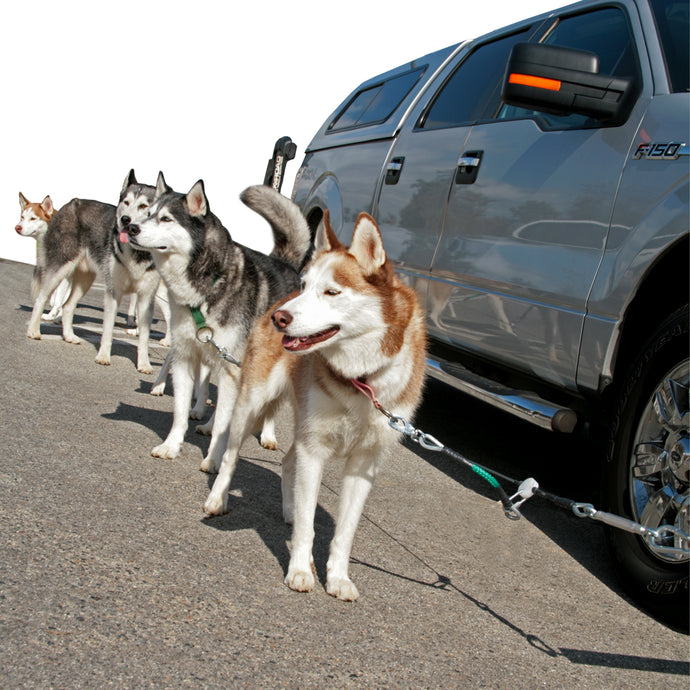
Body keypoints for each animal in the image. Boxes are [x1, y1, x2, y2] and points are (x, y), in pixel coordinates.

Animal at [15, 191, 69, 320]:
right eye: (22, 217)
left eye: (33, 218)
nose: (17, 227)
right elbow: (57, 297)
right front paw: (58, 313)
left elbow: (60, 298)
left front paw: (53, 315)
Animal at [27, 171, 167, 370]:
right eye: (126, 202)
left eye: (143, 206)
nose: (125, 220)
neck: (137, 253)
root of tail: (72, 202)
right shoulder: (113, 293)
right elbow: (108, 330)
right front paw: (103, 356)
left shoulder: (146, 297)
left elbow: (144, 337)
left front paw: (144, 364)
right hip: (60, 268)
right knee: (41, 299)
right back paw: (33, 330)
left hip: (86, 279)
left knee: (67, 306)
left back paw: (69, 336)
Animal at [126, 175, 312, 462]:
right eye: (149, 213)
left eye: (166, 219)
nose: (131, 227)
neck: (205, 289)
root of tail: (286, 264)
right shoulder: (186, 359)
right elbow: (180, 412)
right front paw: (171, 445)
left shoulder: (230, 368)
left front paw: (213, 460)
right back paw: (209, 424)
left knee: (268, 406)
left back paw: (268, 435)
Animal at [202, 210, 424, 596]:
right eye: (306, 286)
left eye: (332, 291)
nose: (280, 319)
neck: (361, 382)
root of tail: (278, 297)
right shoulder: (315, 448)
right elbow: (309, 524)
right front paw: (300, 570)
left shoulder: (362, 465)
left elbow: (344, 532)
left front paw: (338, 577)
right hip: (250, 405)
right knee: (230, 455)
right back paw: (218, 499)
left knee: (288, 461)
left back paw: (289, 510)